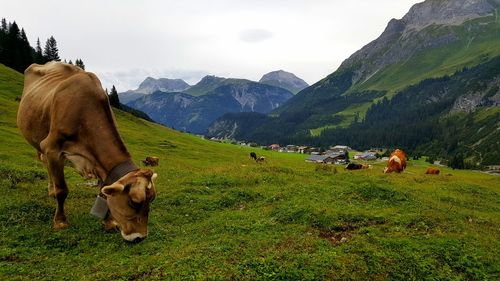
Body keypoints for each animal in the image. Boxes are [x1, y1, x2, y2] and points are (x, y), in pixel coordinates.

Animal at [17, 61, 158, 241]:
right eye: (134, 202)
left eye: (152, 200)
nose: (140, 237)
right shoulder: (51, 148)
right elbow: (62, 190)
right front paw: (60, 222)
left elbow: (104, 191)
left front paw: (109, 223)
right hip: (40, 143)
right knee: (47, 166)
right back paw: (51, 190)